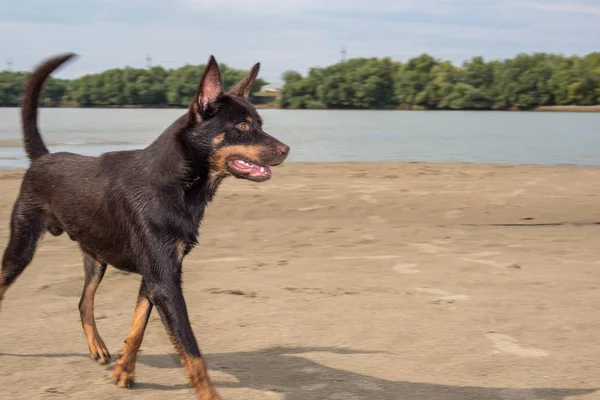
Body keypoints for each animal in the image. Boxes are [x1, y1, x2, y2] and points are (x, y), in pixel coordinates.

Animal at [0, 53, 290, 400]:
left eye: (260, 124)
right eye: (242, 126)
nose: (287, 150)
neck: (177, 184)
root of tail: (41, 158)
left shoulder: (156, 275)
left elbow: (138, 324)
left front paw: (124, 370)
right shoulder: (164, 280)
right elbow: (191, 350)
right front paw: (210, 395)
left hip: (96, 256)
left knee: (84, 301)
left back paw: (97, 347)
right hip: (21, 247)